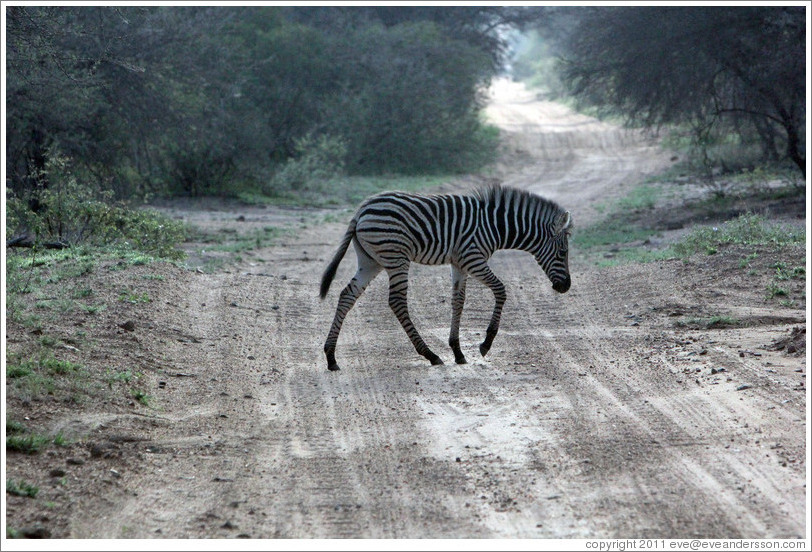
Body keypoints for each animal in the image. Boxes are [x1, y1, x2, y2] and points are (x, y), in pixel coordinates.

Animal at [319, 184, 572, 371]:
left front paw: (457, 351)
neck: (494, 226)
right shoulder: (473, 258)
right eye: (563, 253)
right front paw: (486, 343)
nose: (566, 287)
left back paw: (331, 357)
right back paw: (430, 354)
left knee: (347, 295)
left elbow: (458, 301)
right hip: (395, 257)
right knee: (397, 301)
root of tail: (361, 210)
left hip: (371, 261)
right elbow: (500, 290)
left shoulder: (459, 263)